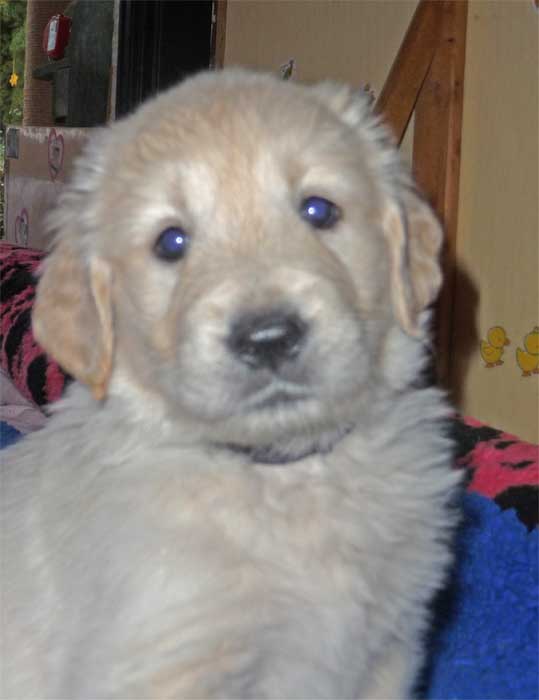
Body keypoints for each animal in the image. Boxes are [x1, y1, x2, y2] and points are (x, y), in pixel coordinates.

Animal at [1, 69, 460, 699]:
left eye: (318, 210)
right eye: (171, 242)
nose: (268, 337)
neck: (283, 476)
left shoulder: (389, 649)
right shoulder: (167, 661)